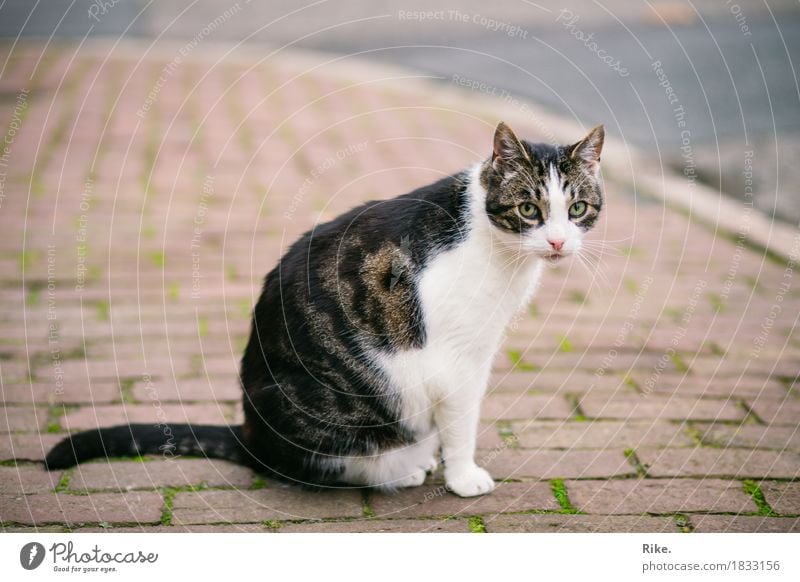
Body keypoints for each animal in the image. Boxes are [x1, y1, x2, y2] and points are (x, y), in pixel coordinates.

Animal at [47, 121, 604, 500]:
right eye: (529, 209)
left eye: (577, 208)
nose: (558, 242)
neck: (495, 245)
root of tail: (251, 434)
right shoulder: (460, 360)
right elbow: (461, 424)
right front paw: (464, 476)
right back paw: (400, 469)